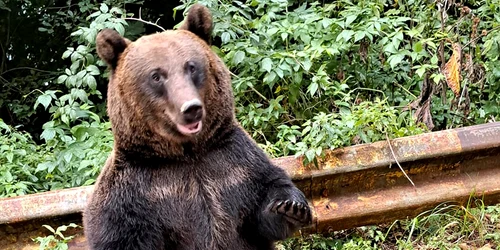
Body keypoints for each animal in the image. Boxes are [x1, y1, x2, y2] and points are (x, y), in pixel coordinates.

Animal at [83, 2, 310, 249]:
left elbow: (265, 197)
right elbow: (120, 234)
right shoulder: (134, 192)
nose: (191, 108)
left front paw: (291, 207)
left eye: (191, 67)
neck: (187, 154)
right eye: (156, 76)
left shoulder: (233, 165)